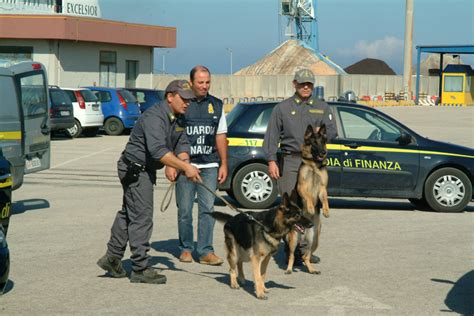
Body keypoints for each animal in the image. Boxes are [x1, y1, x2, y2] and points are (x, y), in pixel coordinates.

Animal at [286, 123, 330, 274]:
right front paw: (310, 207)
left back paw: (312, 269)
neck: (314, 165)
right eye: (314, 142)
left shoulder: (323, 188)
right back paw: (289, 269)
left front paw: (326, 210)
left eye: (323, 141)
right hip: (293, 239)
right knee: (292, 255)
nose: (323, 152)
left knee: (306, 256)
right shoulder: (302, 187)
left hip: (314, 239)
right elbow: (308, 197)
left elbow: (325, 199)